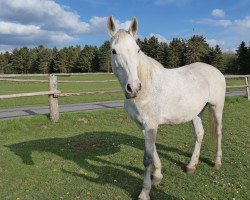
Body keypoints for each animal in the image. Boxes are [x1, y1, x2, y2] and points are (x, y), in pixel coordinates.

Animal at [106, 16, 226, 199]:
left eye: (138, 50)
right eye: (113, 51)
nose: (133, 88)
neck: (147, 87)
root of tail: (215, 71)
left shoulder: (150, 125)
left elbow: (147, 158)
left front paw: (144, 192)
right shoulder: (143, 126)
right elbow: (153, 151)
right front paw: (157, 176)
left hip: (216, 108)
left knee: (218, 132)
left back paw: (217, 162)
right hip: (196, 112)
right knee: (200, 133)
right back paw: (191, 165)